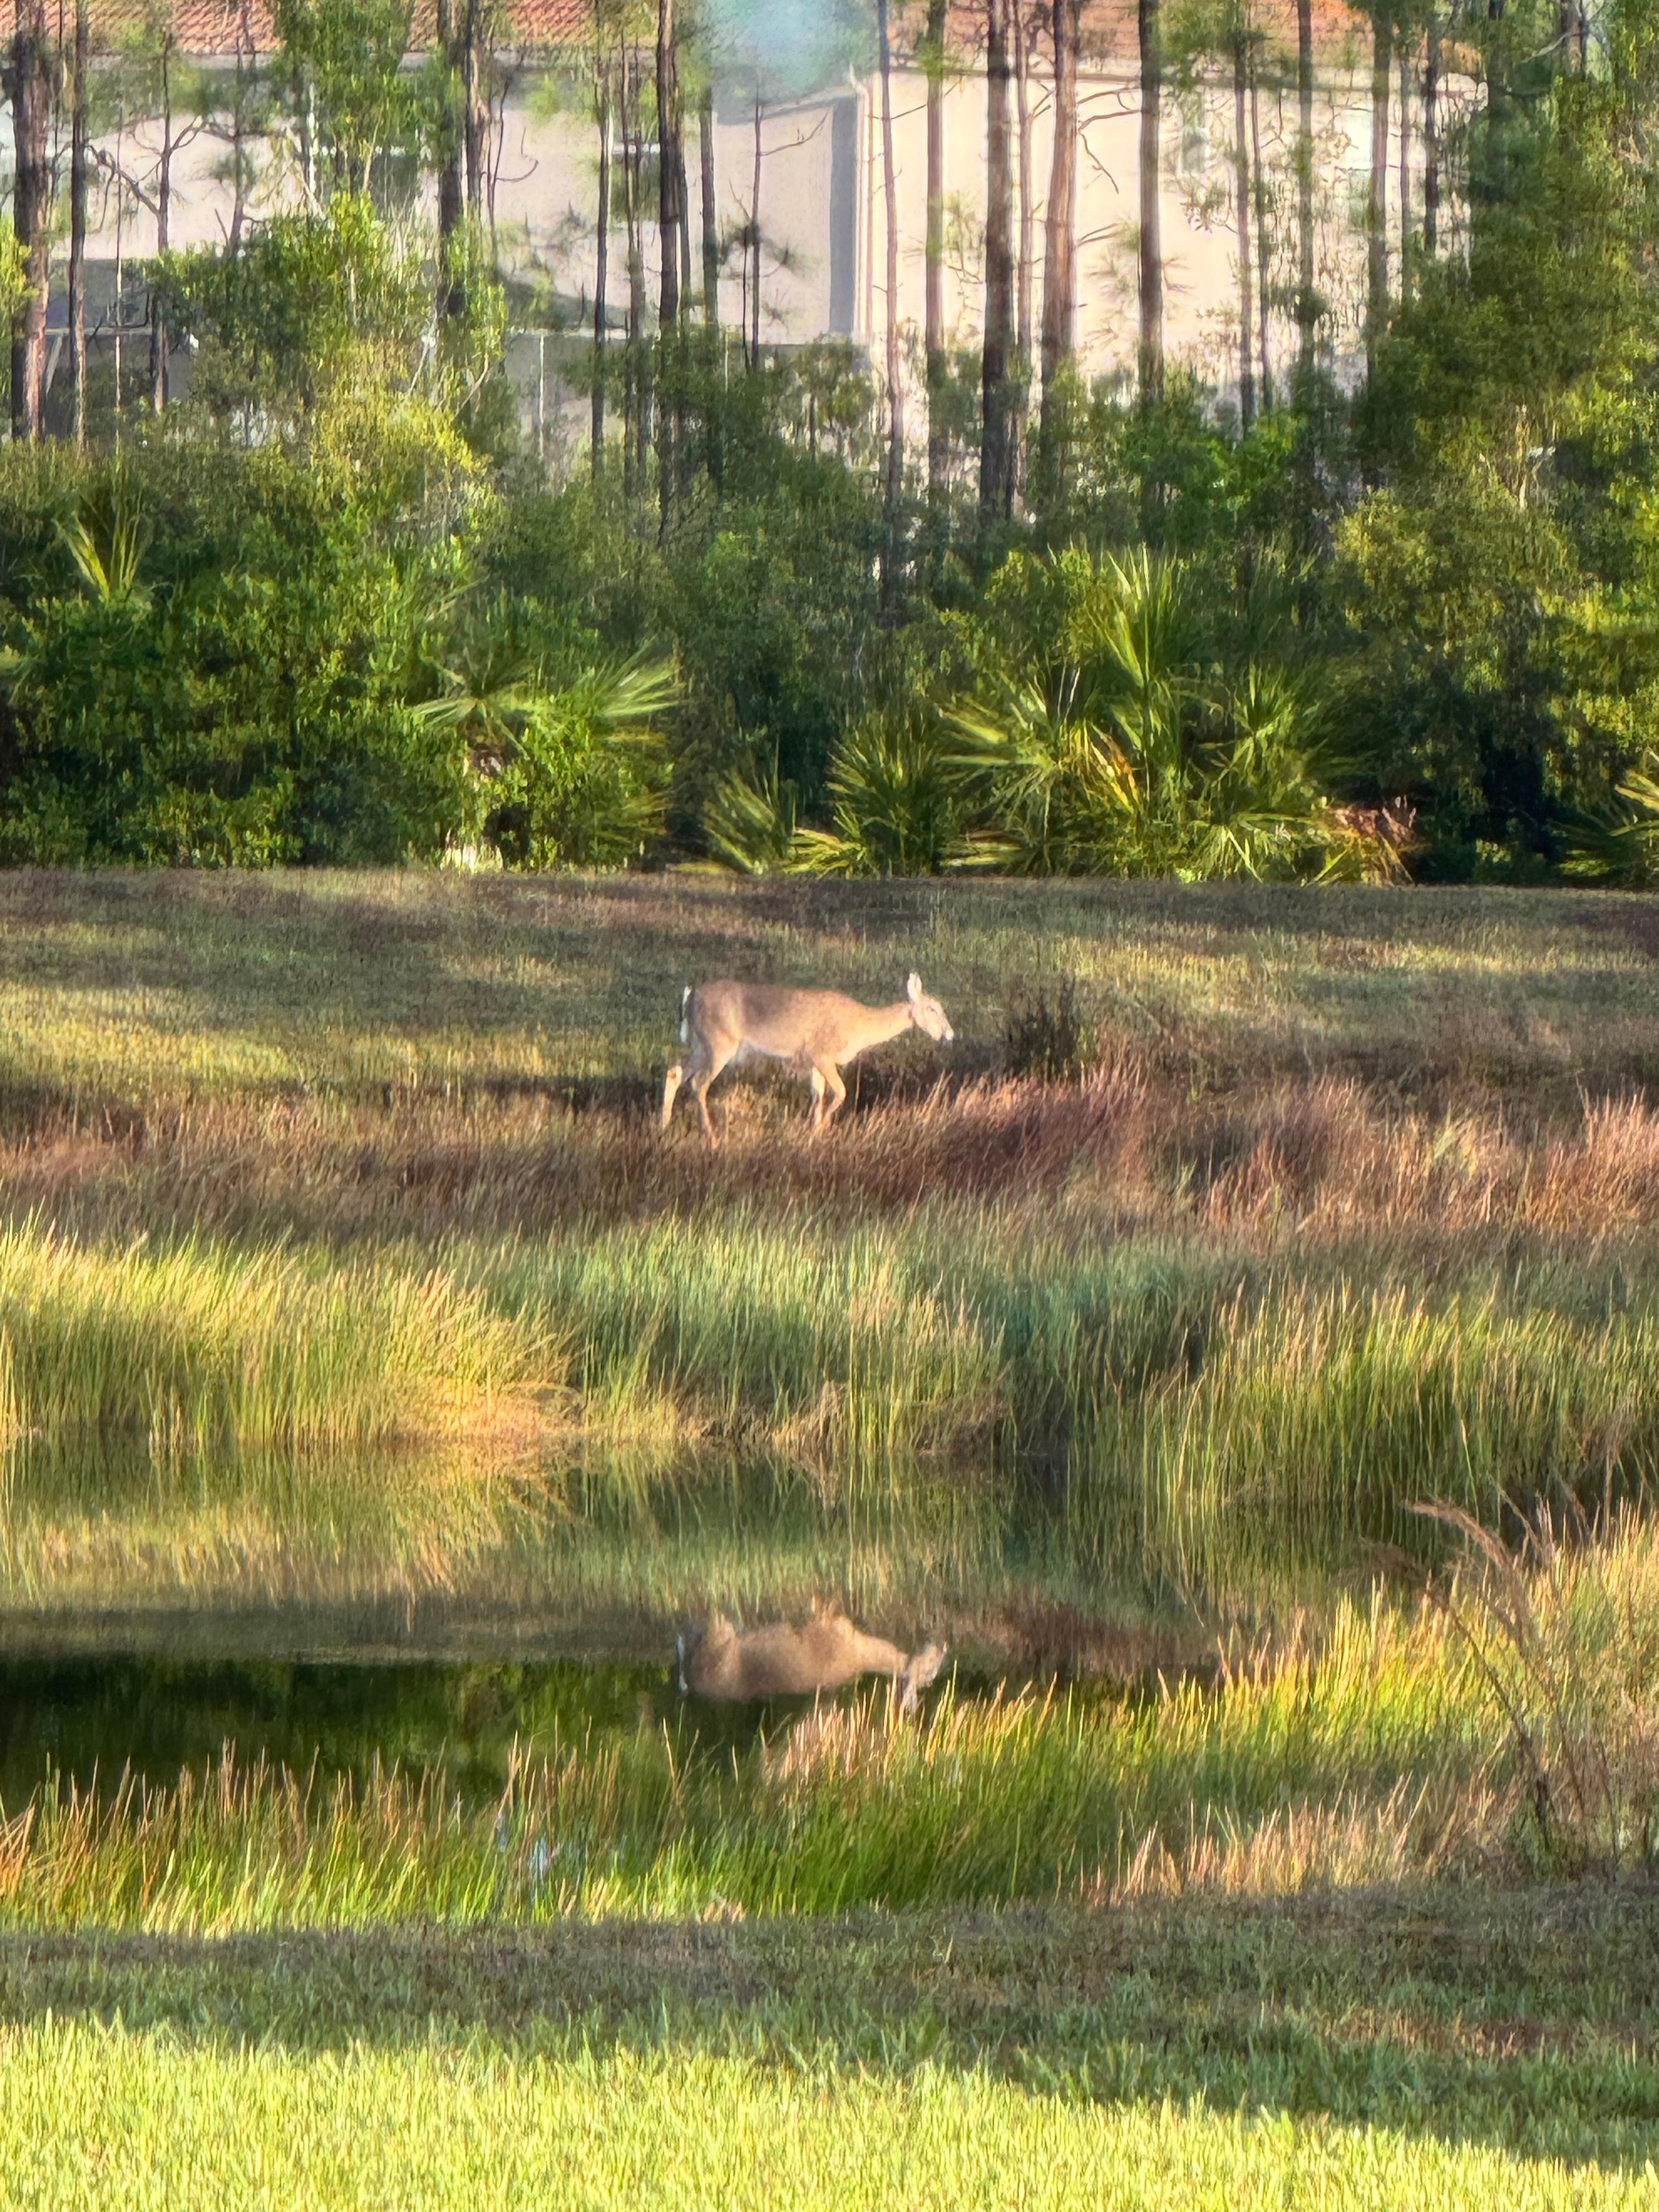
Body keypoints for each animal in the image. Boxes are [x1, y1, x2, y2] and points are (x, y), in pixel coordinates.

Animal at [660, 972, 955, 1142]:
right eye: (932, 1008)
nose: (950, 1035)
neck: (858, 1025)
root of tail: (691, 997)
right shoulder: (821, 1053)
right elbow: (841, 1092)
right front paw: (821, 1129)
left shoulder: (815, 1062)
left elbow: (818, 1094)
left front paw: (813, 1133)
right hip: (720, 1042)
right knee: (699, 1084)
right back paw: (712, 1137)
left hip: (701, 1044)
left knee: (675, 1071)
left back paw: (663, 1125)